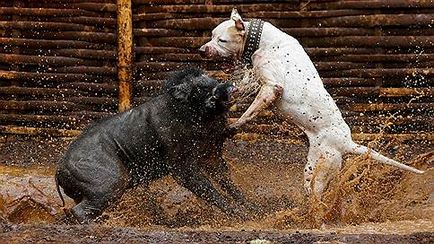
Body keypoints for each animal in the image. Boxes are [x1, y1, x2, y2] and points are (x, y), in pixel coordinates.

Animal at [200, 9, 424, 198]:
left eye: (222, 40)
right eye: (211, 35)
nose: (202, 50)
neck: (261, 40)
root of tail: (347, 142)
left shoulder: (272, 88)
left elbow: (249, 113)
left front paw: (232, 127)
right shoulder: (255, 80)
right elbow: (237, 90)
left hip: (318, 167)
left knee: (316, 197)